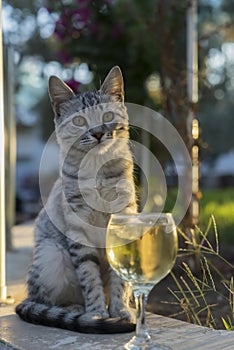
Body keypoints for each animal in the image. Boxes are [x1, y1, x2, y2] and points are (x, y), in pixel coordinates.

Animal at [16, 66, 137, 334]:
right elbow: (89, 279)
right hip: (52, 254)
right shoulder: (78, 231)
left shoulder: (122, 223)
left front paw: (121, 310)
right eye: (80, 121)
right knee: (46, 300)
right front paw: (98, 314)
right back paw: (76, 311)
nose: (98, 133)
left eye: (107, 115)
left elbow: (119, 281)